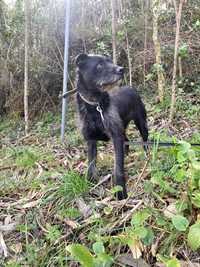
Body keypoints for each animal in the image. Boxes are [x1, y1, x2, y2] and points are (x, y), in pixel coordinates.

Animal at [75, 54, 148, 200]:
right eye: (99, 65)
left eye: (110, 61)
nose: (121, 69)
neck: (95, 107)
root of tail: (130, 87)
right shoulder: (91, 140)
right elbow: (91, 164)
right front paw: (90, 183)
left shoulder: (115, 136)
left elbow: (118, 168)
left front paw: (120, 192)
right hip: (122, 127)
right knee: (126, 140)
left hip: (141, 123)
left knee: (145, 139)